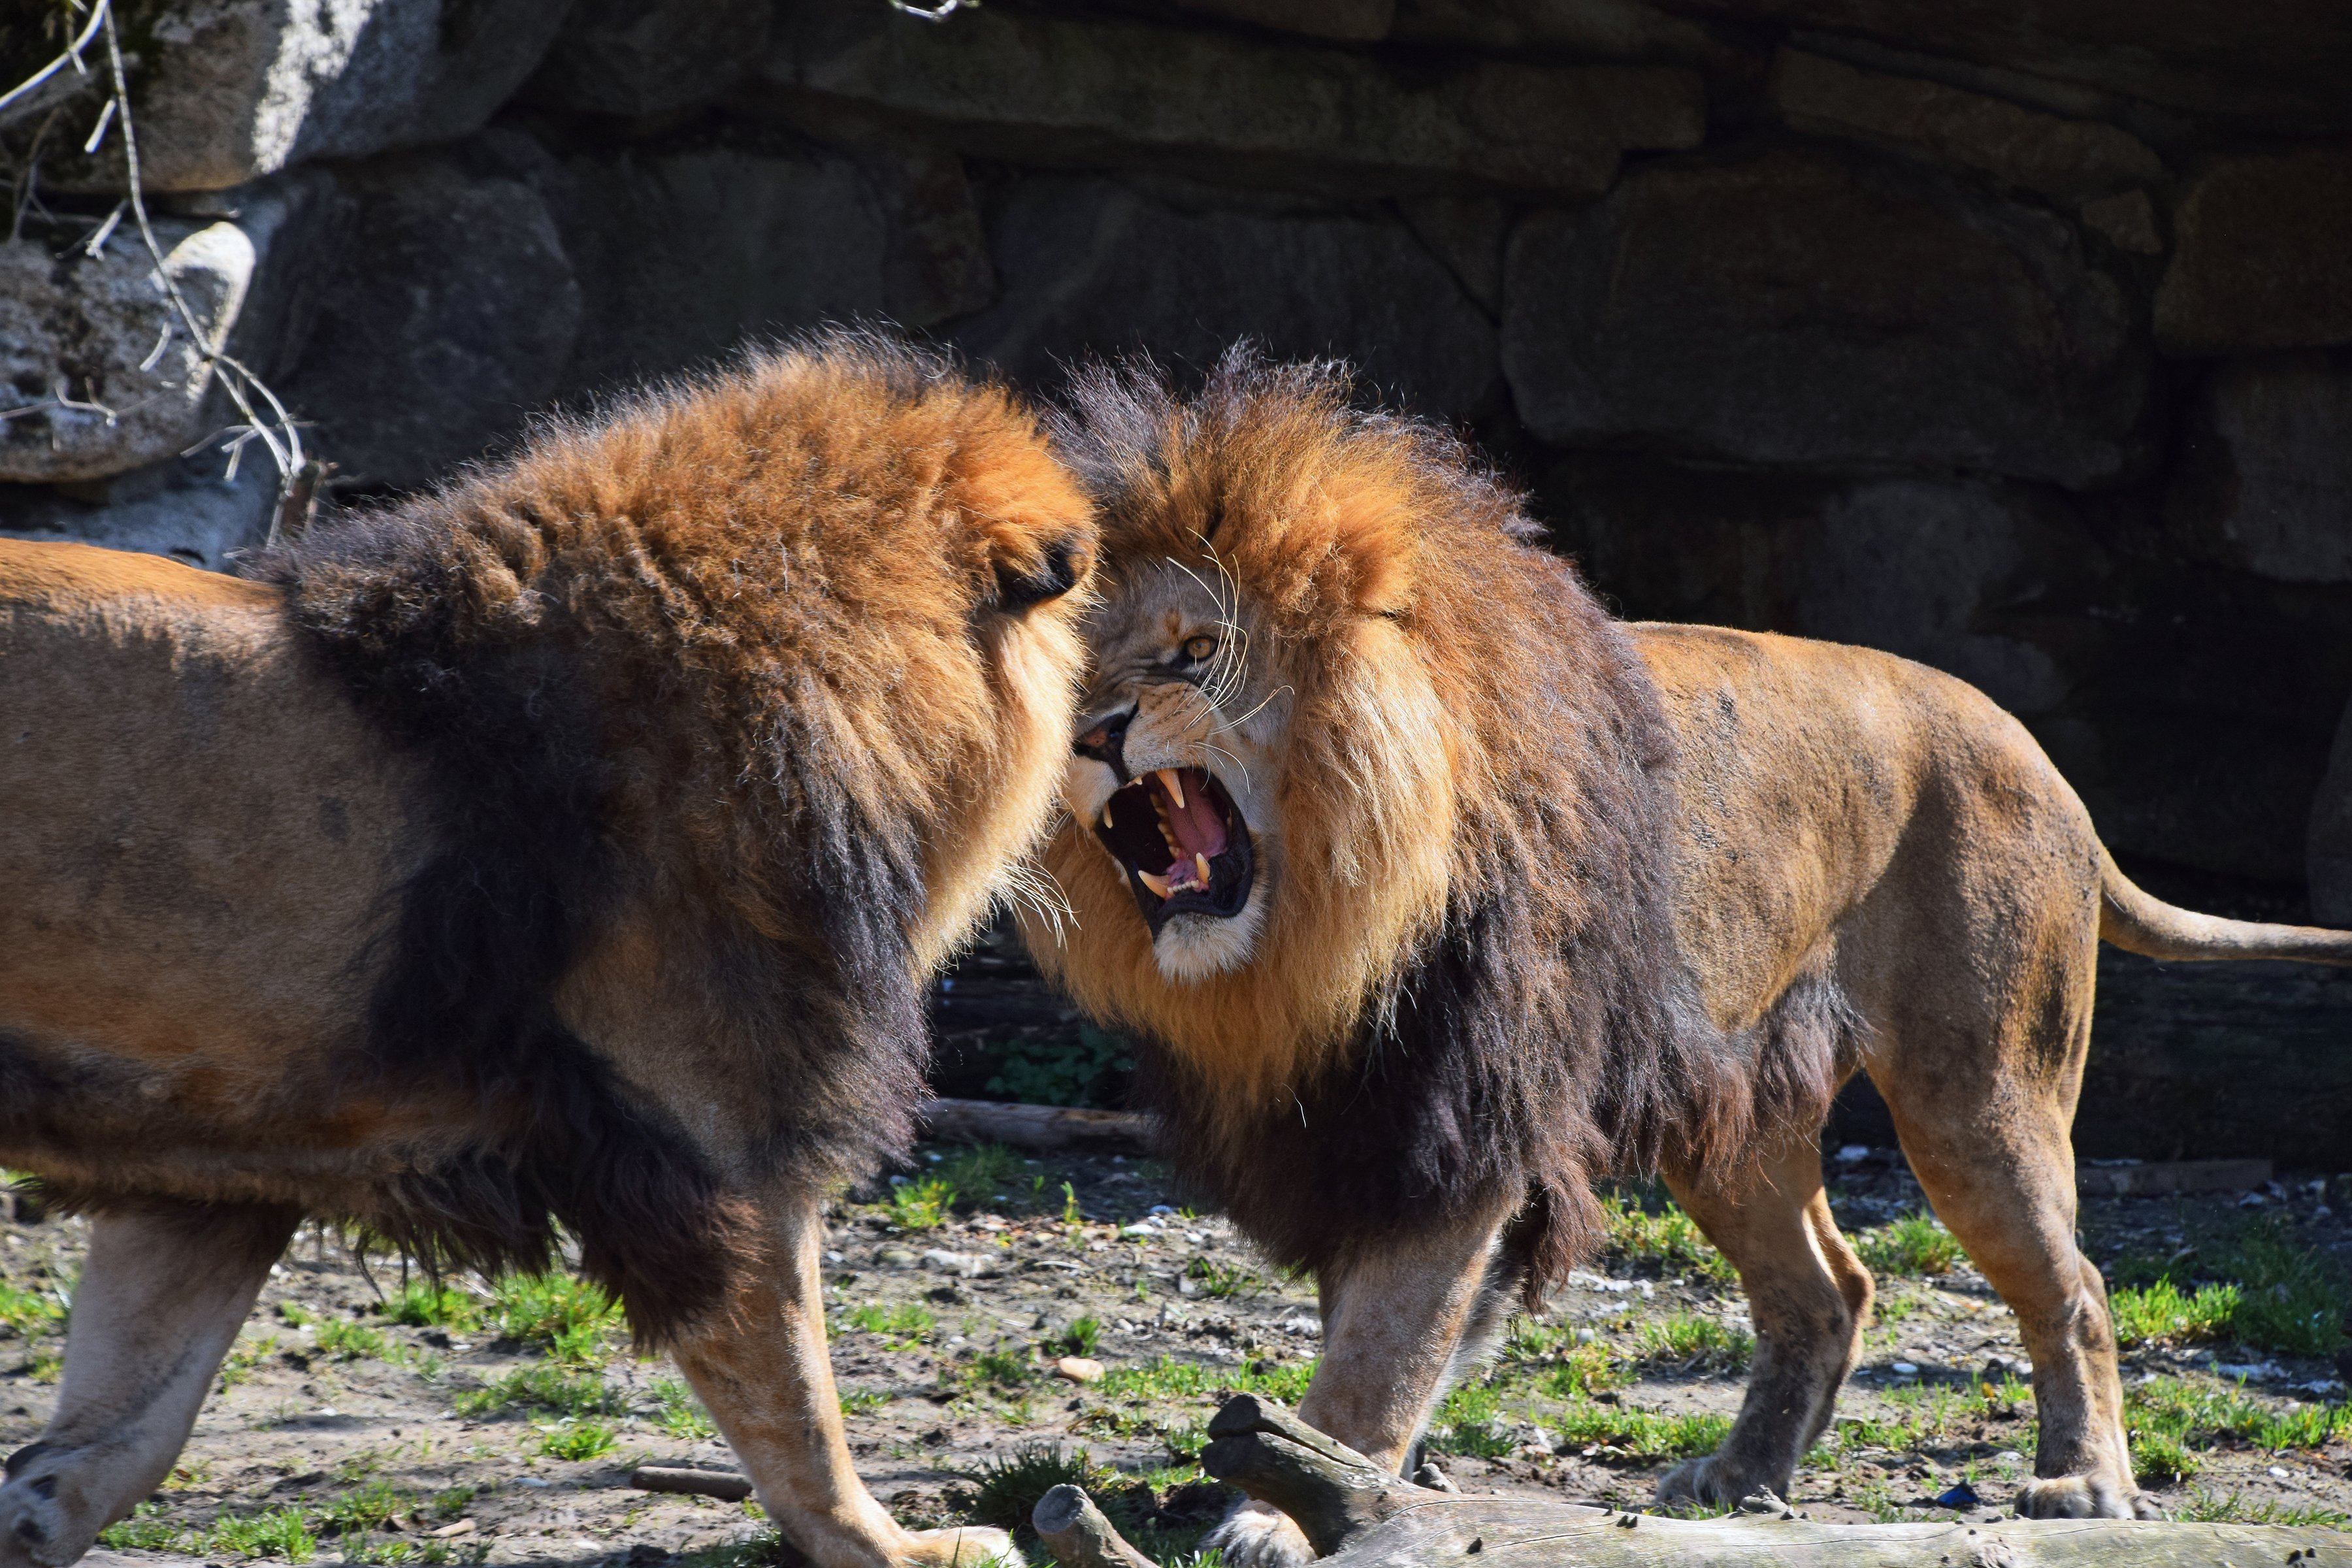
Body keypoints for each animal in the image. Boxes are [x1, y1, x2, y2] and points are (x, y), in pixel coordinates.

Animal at [0, 337, 1095, 1568]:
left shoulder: (217, 1149)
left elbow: (132, 1412)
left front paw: (34, 1512)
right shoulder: (711, 1136)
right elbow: (798, 1401)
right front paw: (896, 1546)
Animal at [1021, 350, 2352, 1561]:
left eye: (1195, 652)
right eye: (1075, 670)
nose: (1093, 735)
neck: (1317, 937)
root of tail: (2043, 762)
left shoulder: (1463, 1124)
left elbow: (1381, 1355)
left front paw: (1282, 1511)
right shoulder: (1363, 1124)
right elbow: (1369, 1332)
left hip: (1979, 1095)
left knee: (2072, 1285)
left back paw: (2085, 1486)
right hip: (1737, 1112)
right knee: (1830, 1289)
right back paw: (1741, 1479)